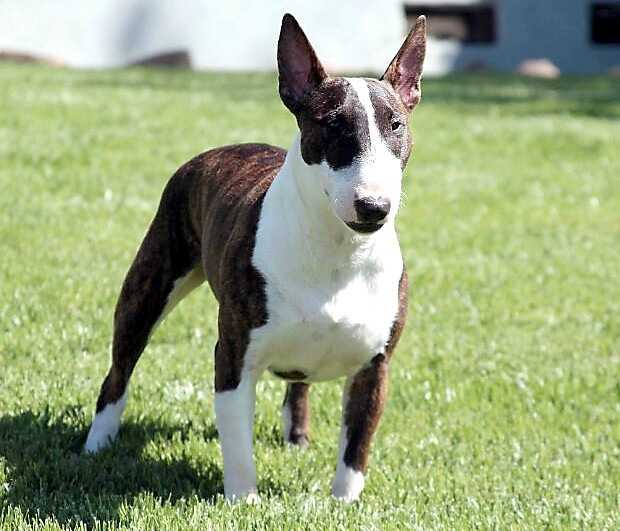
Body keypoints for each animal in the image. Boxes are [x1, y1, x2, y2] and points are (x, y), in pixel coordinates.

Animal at [85, 12, 426, 502]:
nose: (374, 206)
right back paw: (98, 443)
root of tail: (224, 149)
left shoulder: (375, 367)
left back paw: (296, 437)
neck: (338, 251)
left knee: (299, 388)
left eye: (396, 125)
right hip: (149, 286)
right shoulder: (233, 357)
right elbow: (238, 443)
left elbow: (356, 447)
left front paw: (343, 504)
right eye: (333, 125)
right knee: (120, 369)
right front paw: (243, 501)